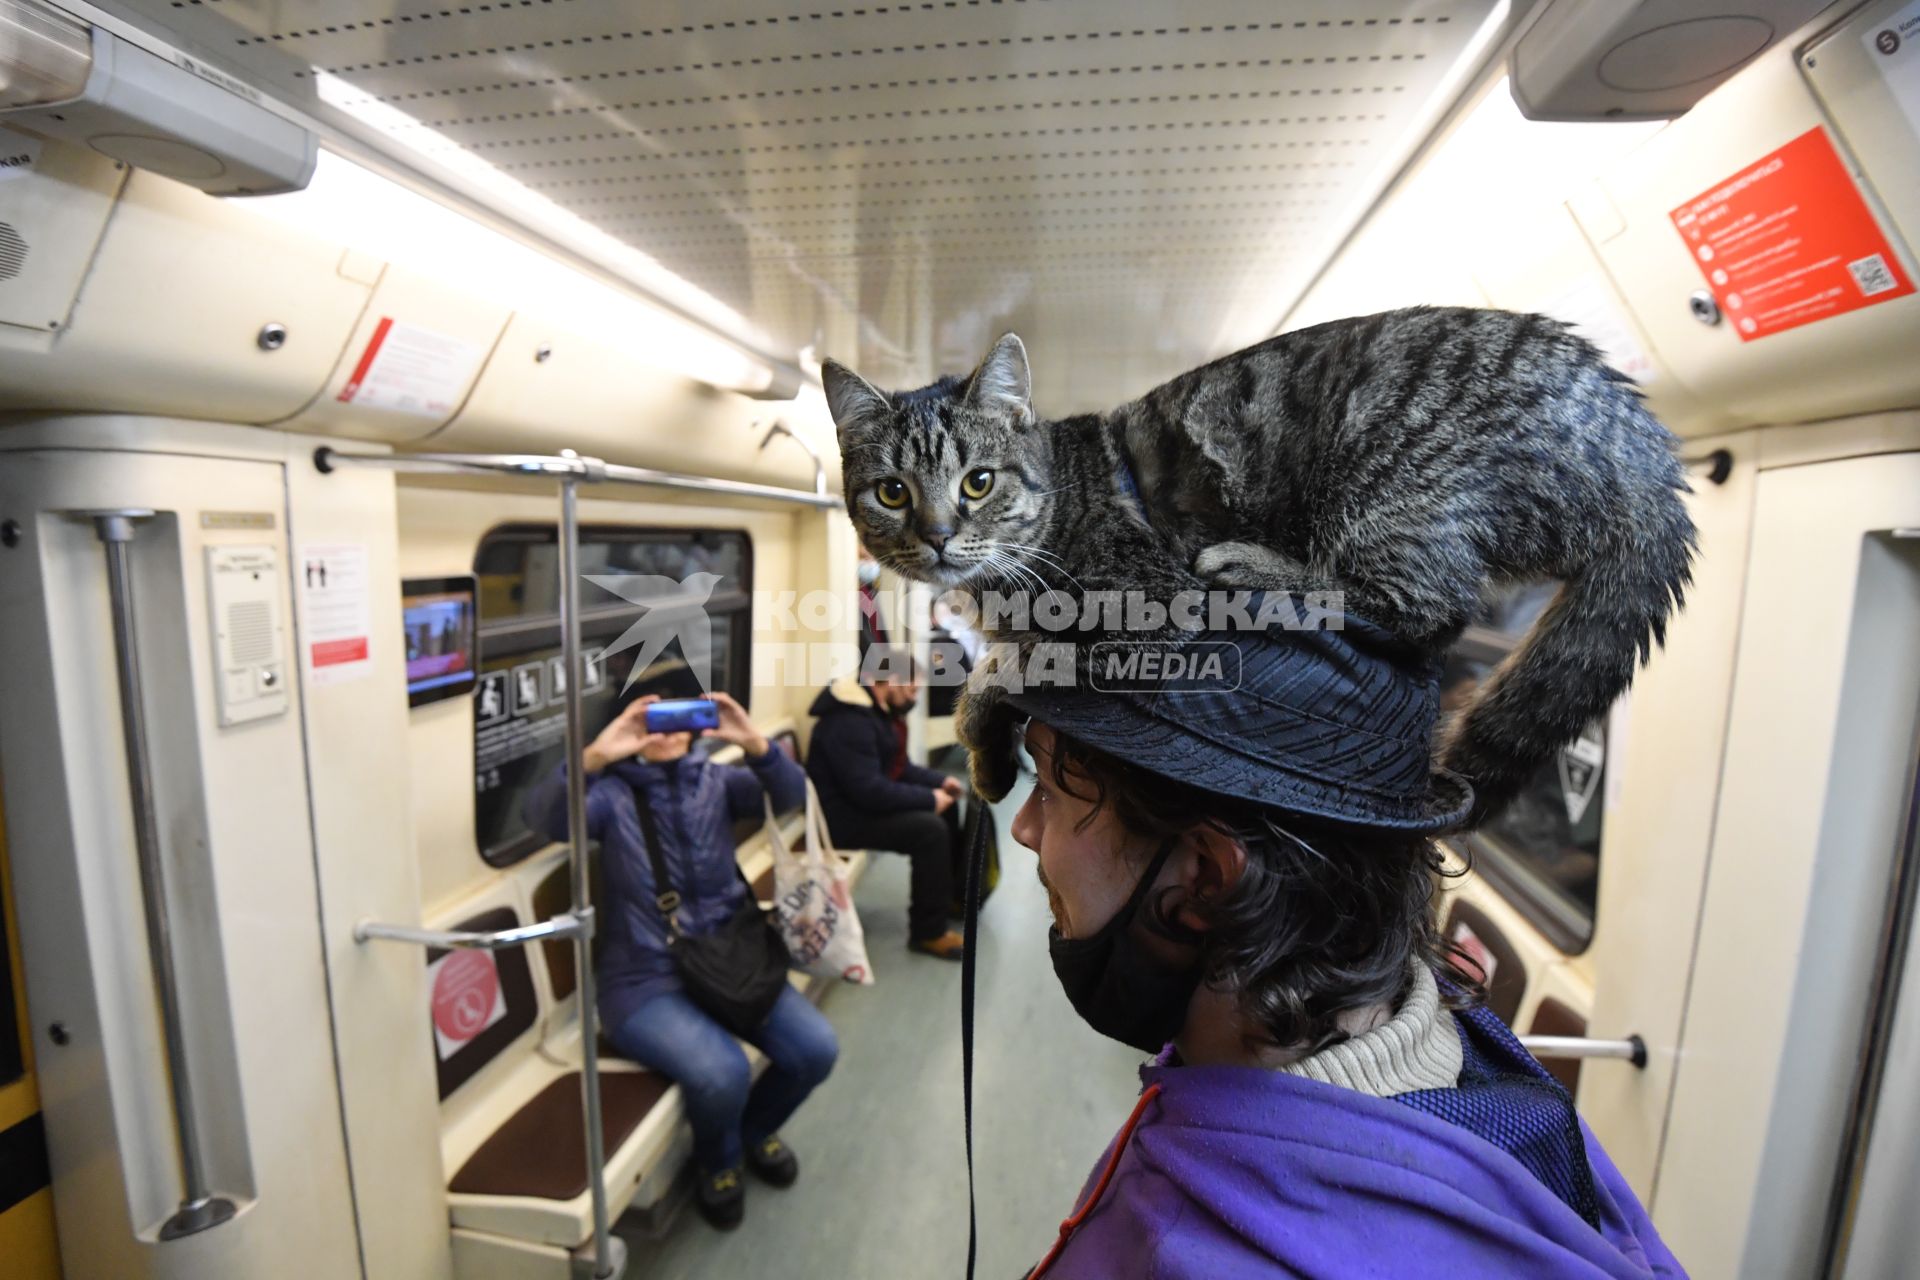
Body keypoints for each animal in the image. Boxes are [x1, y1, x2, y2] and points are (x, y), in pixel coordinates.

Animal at [825, 310, 1697, 832]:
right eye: (893, 492)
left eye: (978, 483)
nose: (938, 537)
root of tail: (1638, 436)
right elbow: (994, 667)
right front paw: (986, 750)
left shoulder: (1142, 617)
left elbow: (1008, 670)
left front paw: (985, 734)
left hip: (1390, 480)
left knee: (1425, 609)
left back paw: (1256, 565)